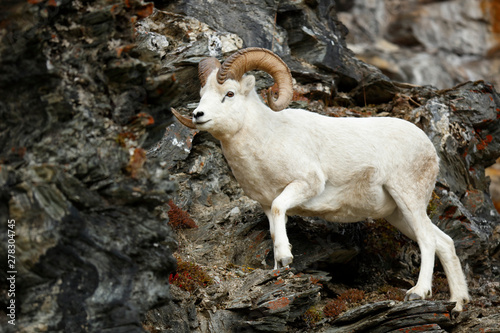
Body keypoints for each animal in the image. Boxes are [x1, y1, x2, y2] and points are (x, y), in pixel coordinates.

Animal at [172, 46, 468, 312]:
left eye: (229, 94)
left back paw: (418, 293)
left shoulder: (305, 186)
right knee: (444, 243)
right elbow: (274, 227)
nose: (198, 115)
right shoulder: (266, 204)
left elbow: (280, 209)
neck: (266, 138)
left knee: (428, 241)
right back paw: (457, 304)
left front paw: (285, 256)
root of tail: (429, 148)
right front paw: (279, 268)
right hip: (398, 214)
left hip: (408, 199)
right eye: (202, 95)